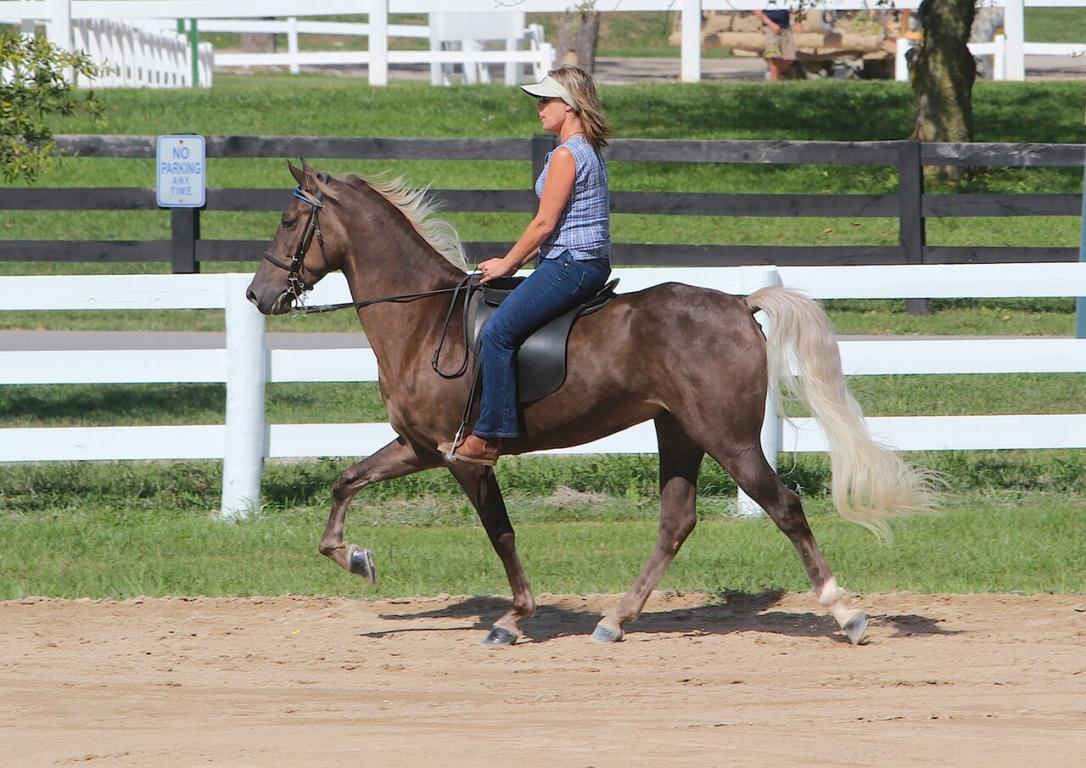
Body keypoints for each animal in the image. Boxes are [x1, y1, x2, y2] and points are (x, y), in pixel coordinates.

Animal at [246, 161, 933, 647]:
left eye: (287, 221)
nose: (256, 295)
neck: (421, 320)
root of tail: (739, 301)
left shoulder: (465, 458)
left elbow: (501, 533)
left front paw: (513, 619)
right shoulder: (422, 448)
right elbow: (346, 481)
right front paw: (354, 558)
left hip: (728, 437)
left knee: (784, 506)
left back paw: (845, 613)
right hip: (679, 432)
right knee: (676, 521)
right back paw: (615, 619)